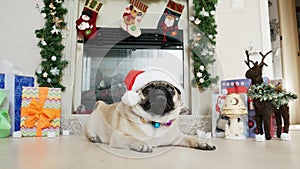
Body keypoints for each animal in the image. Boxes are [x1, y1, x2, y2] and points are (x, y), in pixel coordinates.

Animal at [84, 68, 216, 152]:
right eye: (147, 89)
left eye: (171, 90)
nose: (160, 88)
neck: (155, 121)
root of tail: (101, 105)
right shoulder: (119, 136)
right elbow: (133, 138)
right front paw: (142, 144)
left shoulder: (178, 137)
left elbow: (191, 138)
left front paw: (203, 143)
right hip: (90, 127)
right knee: (87, 136)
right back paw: (94, 138)